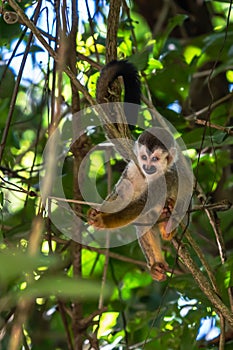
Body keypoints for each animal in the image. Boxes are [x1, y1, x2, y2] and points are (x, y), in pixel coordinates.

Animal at [88, 60, 188, 282]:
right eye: (144, 157)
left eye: (155, 159)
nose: (148, 167)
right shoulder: (132, 169)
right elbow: (123, 199)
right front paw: (99, 213)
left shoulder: (164, 178)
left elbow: (142, 204)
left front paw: (102, 220)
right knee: (143, 218)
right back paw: (156, 264)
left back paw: (167, 228)